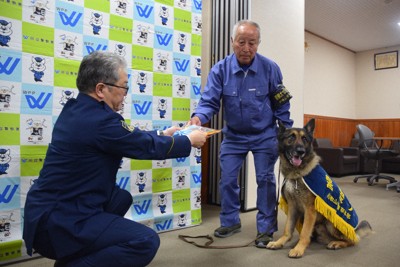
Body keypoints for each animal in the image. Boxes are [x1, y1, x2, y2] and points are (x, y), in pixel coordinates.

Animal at [266, 119, 372, 260]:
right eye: (291, 137)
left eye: (304, 139)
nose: (300, 151)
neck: (297, 174)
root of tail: (354, 230)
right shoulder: (293, 207)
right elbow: (288, 229)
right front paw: (279, 242)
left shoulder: (310, 210)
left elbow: (305, 232)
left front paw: (299, 249)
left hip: (331, 223)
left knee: (353, 241)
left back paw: (336, 243)